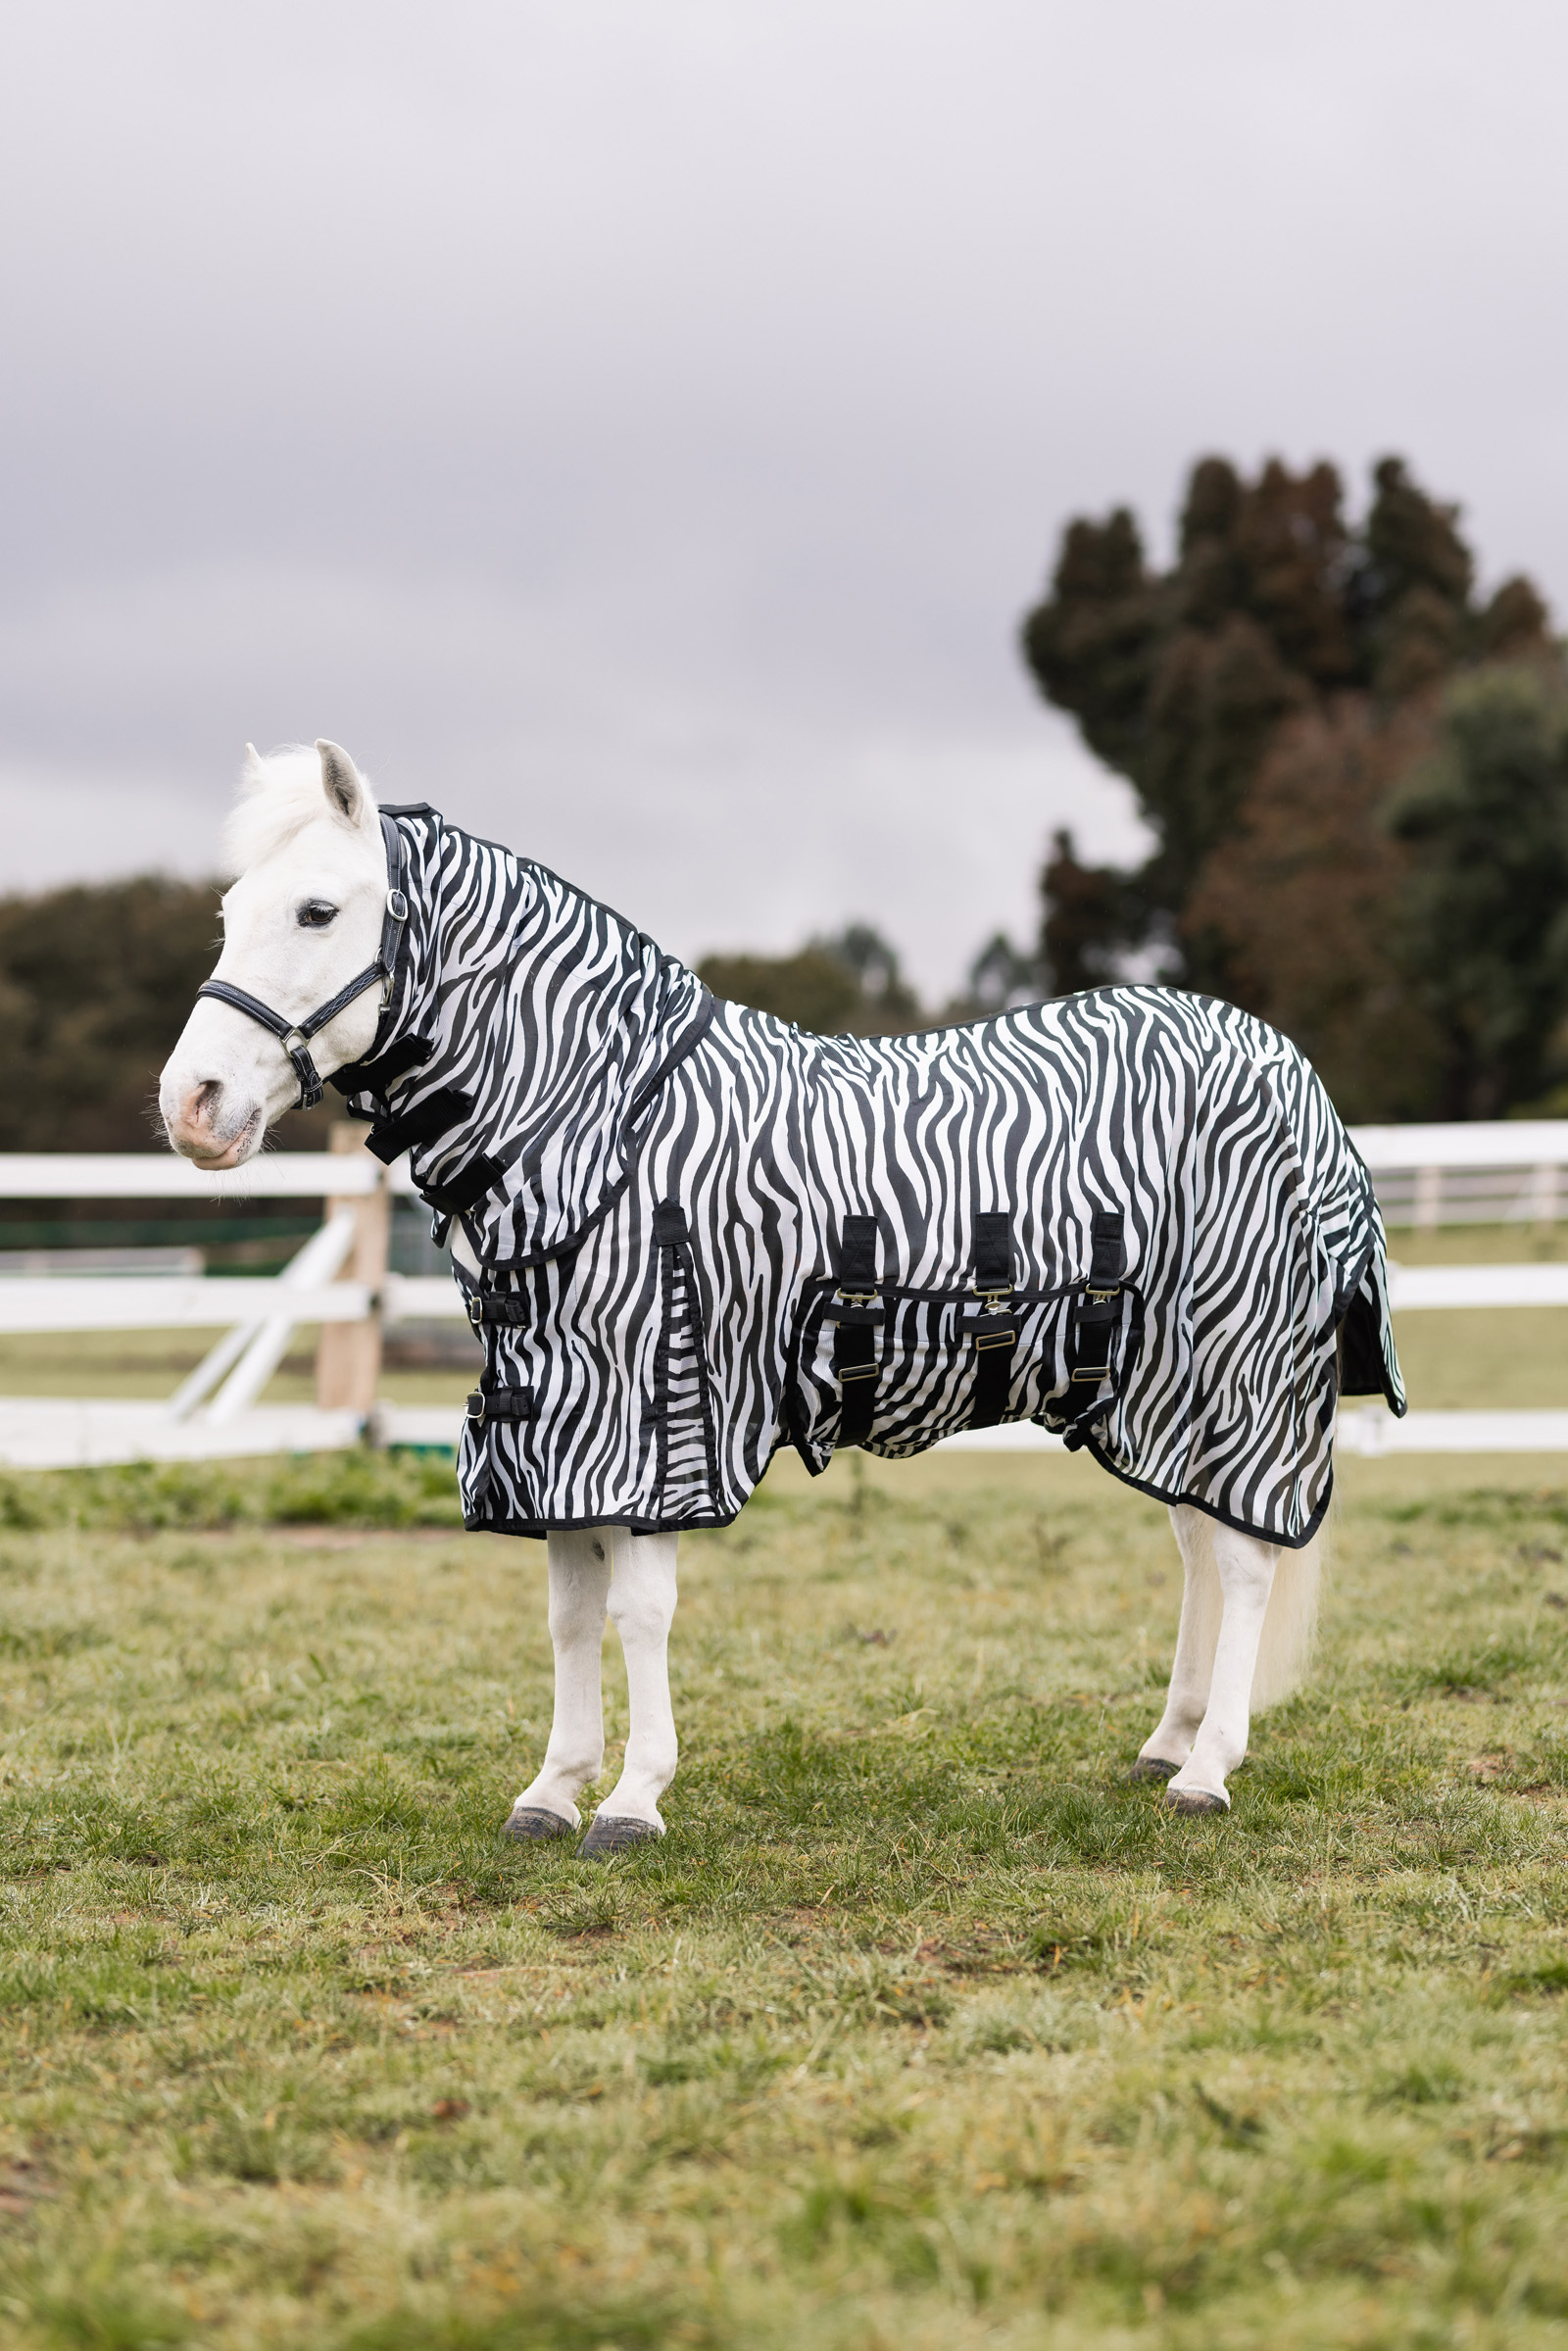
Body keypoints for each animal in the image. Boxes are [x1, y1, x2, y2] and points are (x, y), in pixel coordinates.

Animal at [160, 740, 1404, 1854]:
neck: (605, 1128)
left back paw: (1206, 1771)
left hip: (1237, 1370)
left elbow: (637, 1611)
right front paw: (552, 1789)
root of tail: (1289, 1068)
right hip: (1160, 1388)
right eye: (231, 910)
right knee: (1199, 1543)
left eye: (318, 911)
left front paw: (632, 1799)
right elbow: (568, 1611)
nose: (190, 1103)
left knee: (1242, 1560)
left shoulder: (655, 1407)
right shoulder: (554, 1416)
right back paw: (1167, 1740)